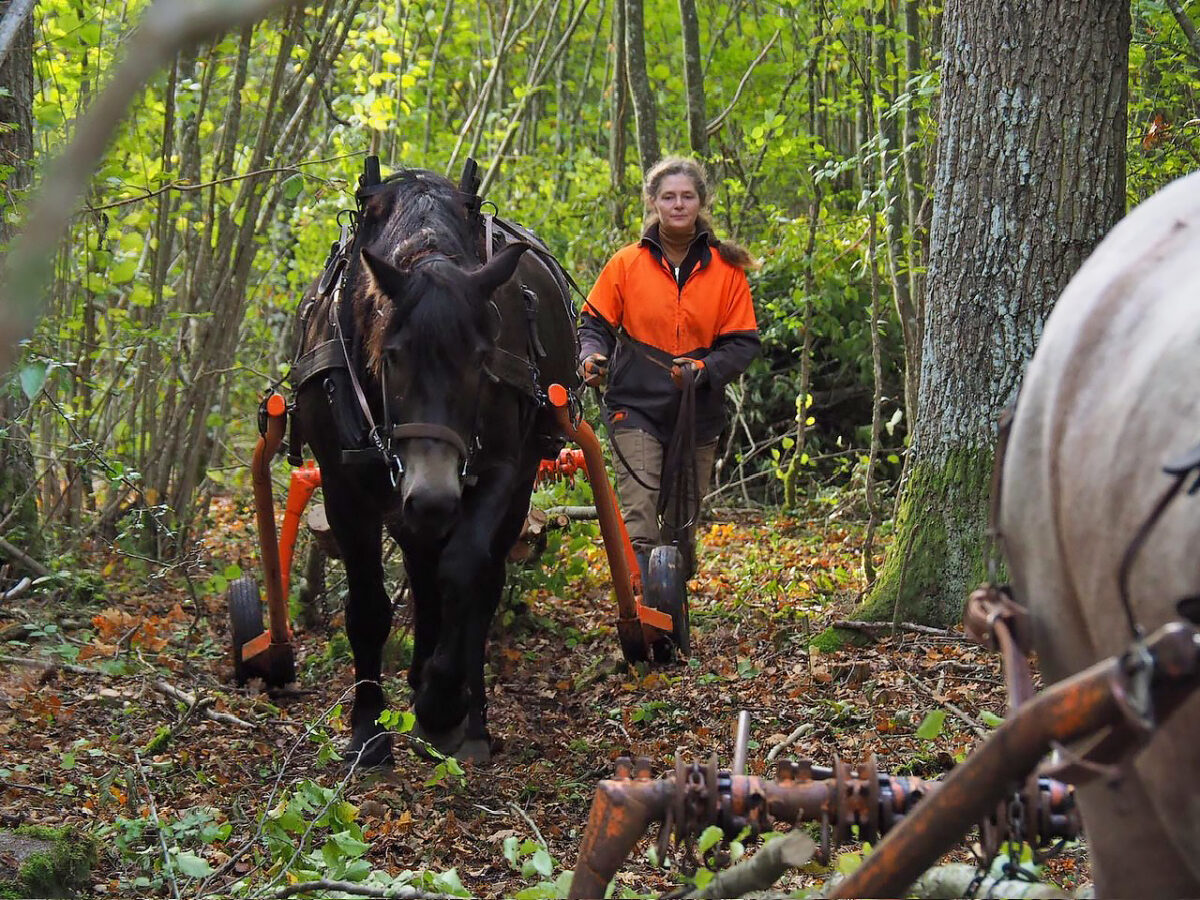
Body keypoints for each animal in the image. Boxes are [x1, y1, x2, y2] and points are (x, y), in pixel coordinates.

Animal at [288, 168, 573, 768]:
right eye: (392, 355)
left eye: (482, 360)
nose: (435, 495)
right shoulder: (345, 488)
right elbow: (369, 606)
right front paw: (367, 730)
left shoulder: (501, 473)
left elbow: (464, 574)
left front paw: (444, 706)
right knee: (421, 576)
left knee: (478, 586)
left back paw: (470, 717)